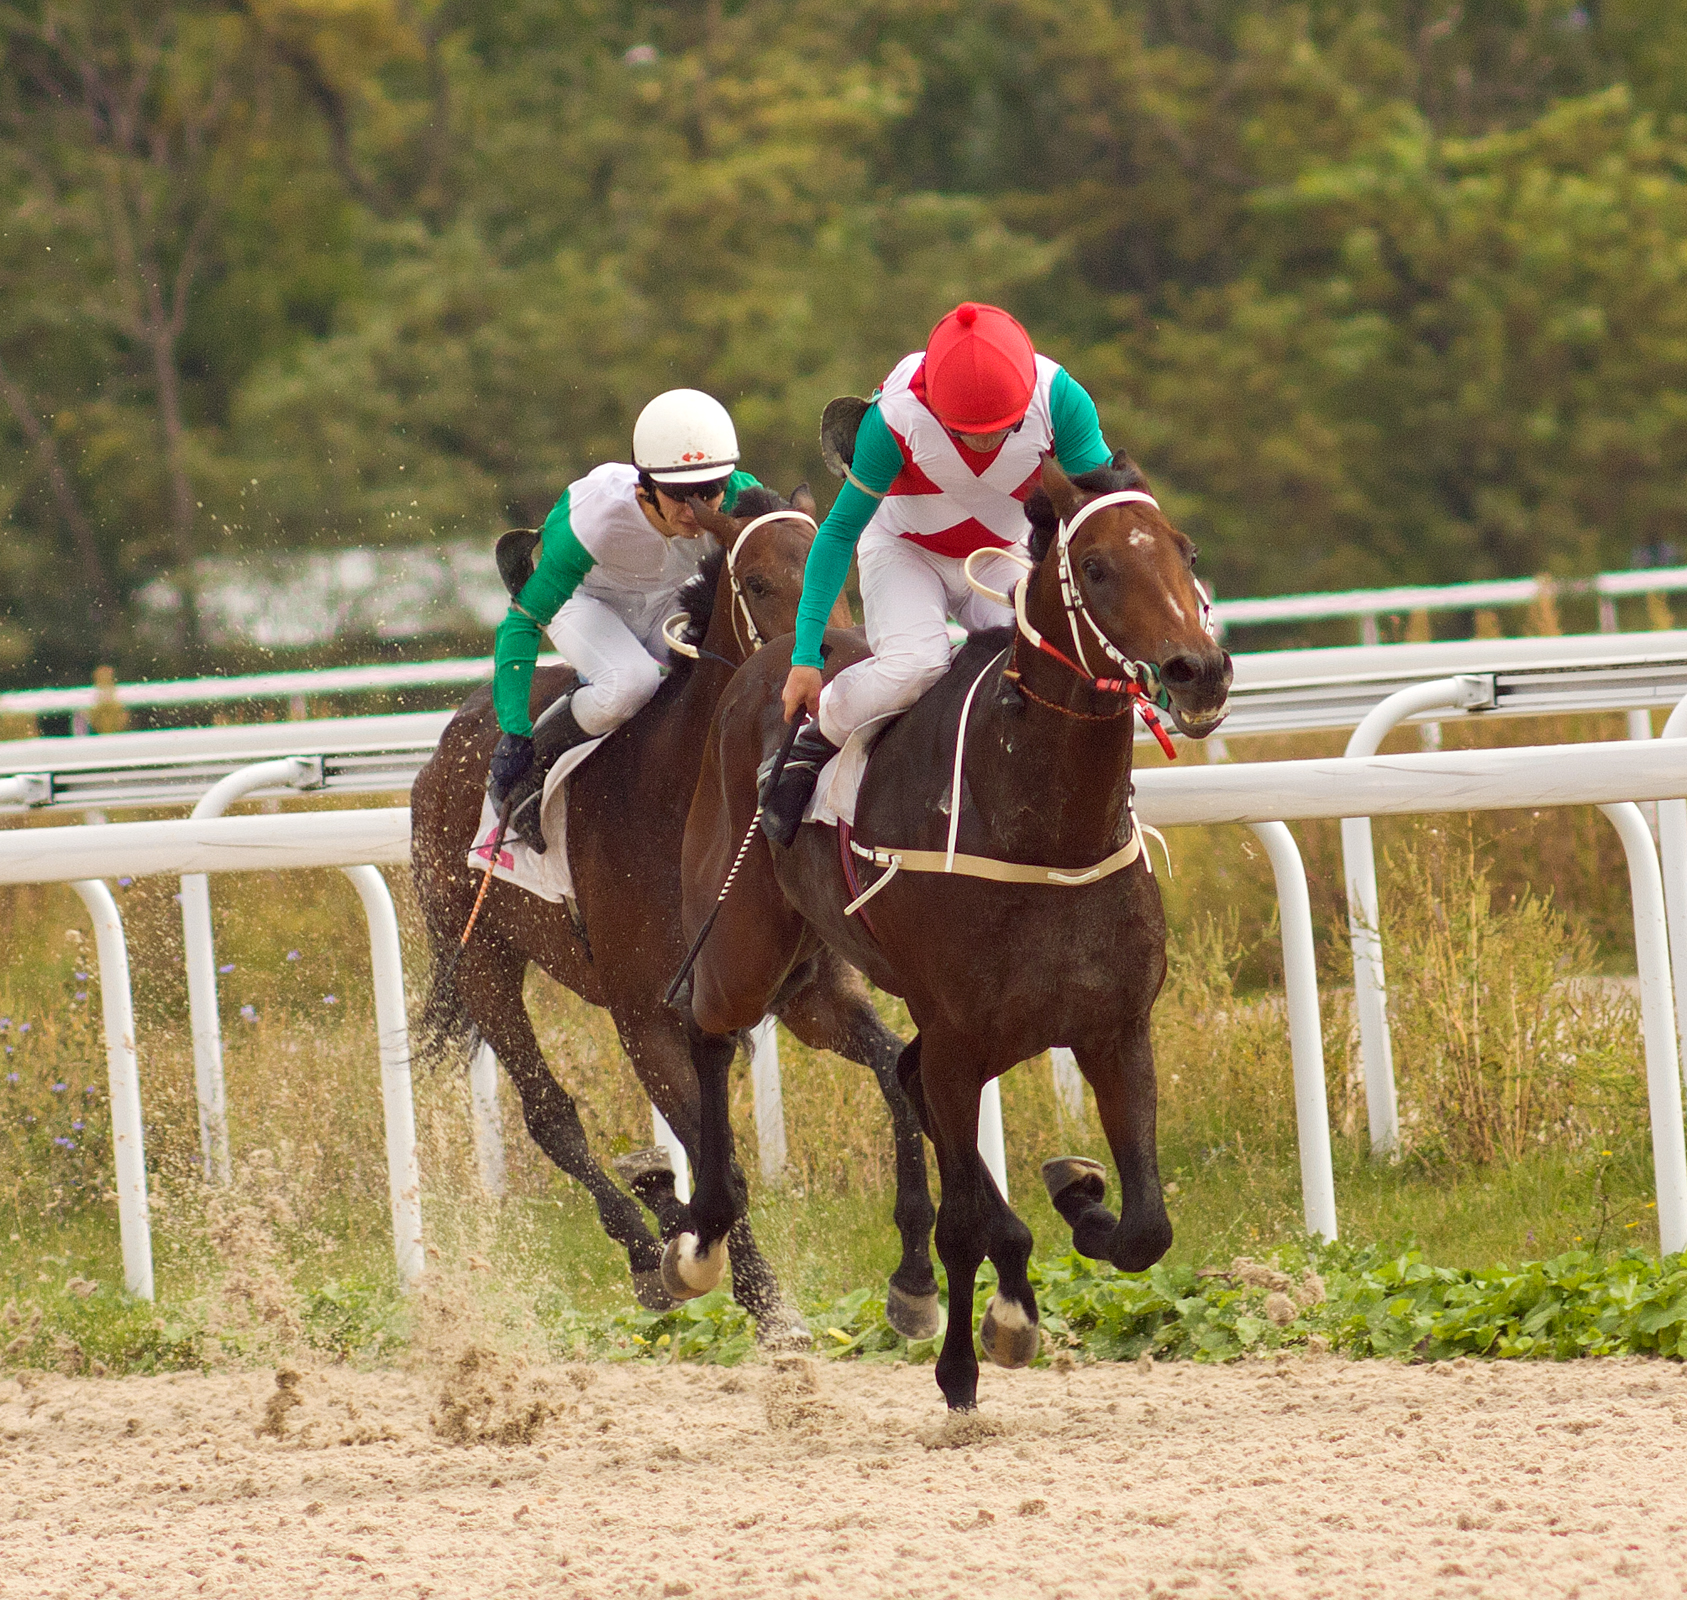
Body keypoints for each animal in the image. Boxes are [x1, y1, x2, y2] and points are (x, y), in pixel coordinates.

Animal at [410, 485, 941, 1341]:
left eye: (848, 575)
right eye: (757, 583)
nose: (846, 665)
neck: (689, 802)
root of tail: (448, 741)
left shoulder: (810, 997)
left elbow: (896, 1081)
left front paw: (915, 1282)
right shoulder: (647, 1015)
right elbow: (718, 1161)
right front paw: (762, 1302)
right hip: (482, 954)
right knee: (548, 1113)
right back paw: (642, 1248)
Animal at [670, 455, 1232, 1407]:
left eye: (1185, 549)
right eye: (1097, 568)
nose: (1199, 671)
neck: (1045, 832)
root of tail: (764, 665)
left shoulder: (1113, 1027)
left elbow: (1145, 1227)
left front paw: (1076, 1199)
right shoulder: (962, 1039)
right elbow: (962, 1217)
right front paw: (963, 1367)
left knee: (901, 1075)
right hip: (746, 941)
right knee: (704, 1032)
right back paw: (702, 1235)